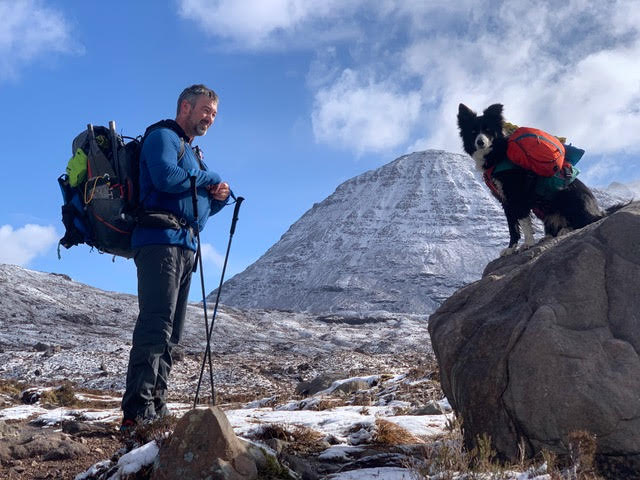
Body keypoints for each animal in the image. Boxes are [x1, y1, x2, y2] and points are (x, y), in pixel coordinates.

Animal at [458, 103, 624, 256]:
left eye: (488, 130)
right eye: (473, 132)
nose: (480, 142)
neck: (497, 155)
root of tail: (598, 210)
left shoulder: (516, 195)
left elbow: (523, 222)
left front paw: (528, 244)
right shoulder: (504, 199)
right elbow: (512, 226)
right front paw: (511, 248)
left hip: (567, 197)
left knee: (587, 221)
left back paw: (566, 230)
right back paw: (549, 235)